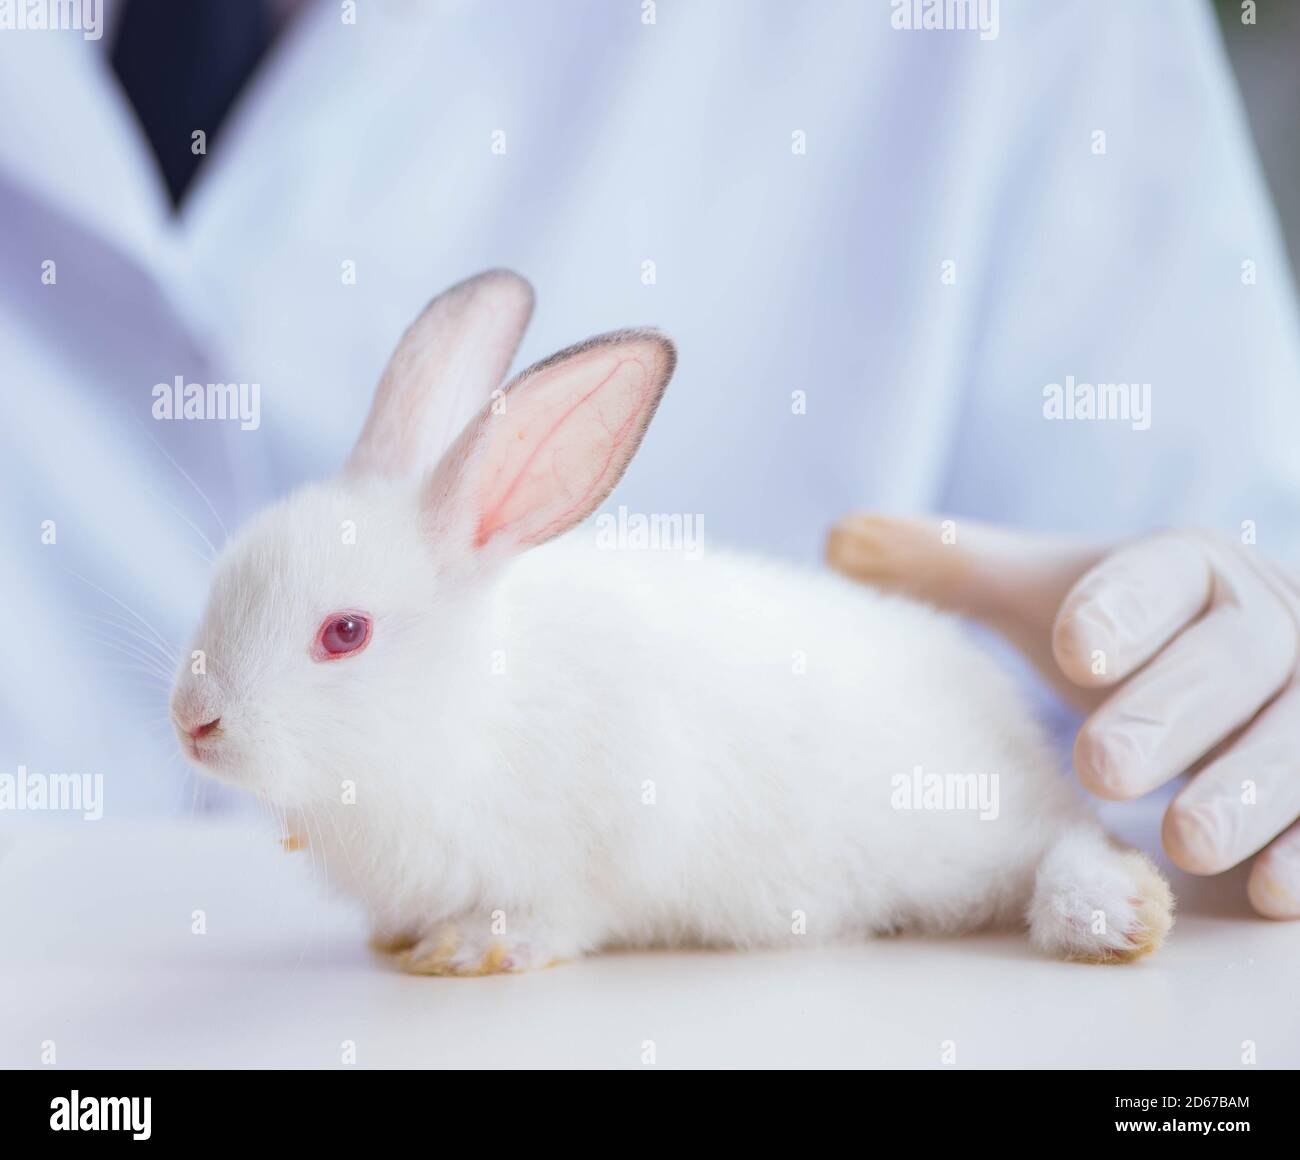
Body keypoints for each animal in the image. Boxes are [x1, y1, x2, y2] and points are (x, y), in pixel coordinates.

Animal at [170, 269, 1174, 975]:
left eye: (345, 634)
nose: (192, 724)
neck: (461, 713)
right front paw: (399, 940)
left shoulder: (596, 852)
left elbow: (557, 914)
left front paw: (466, 952)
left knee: (1068, 841)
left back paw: (1117, 915)